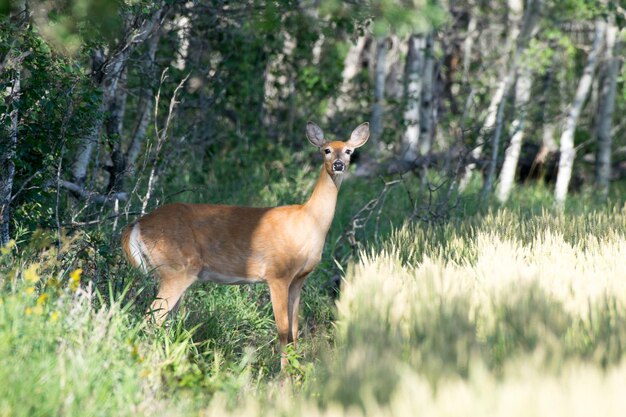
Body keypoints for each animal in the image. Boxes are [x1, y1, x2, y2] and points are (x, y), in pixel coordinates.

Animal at [119, 120, 368, 368]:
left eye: (348, 151)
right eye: (326, 150)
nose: (338, 165)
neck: (309, 221)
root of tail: (136, 224)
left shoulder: (299, 279)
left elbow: (295, 330)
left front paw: (296, 369)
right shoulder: (277, 274)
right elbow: (283, 330)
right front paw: (283, 374)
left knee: (163, 321)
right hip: (176, 269)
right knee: (151, 318)